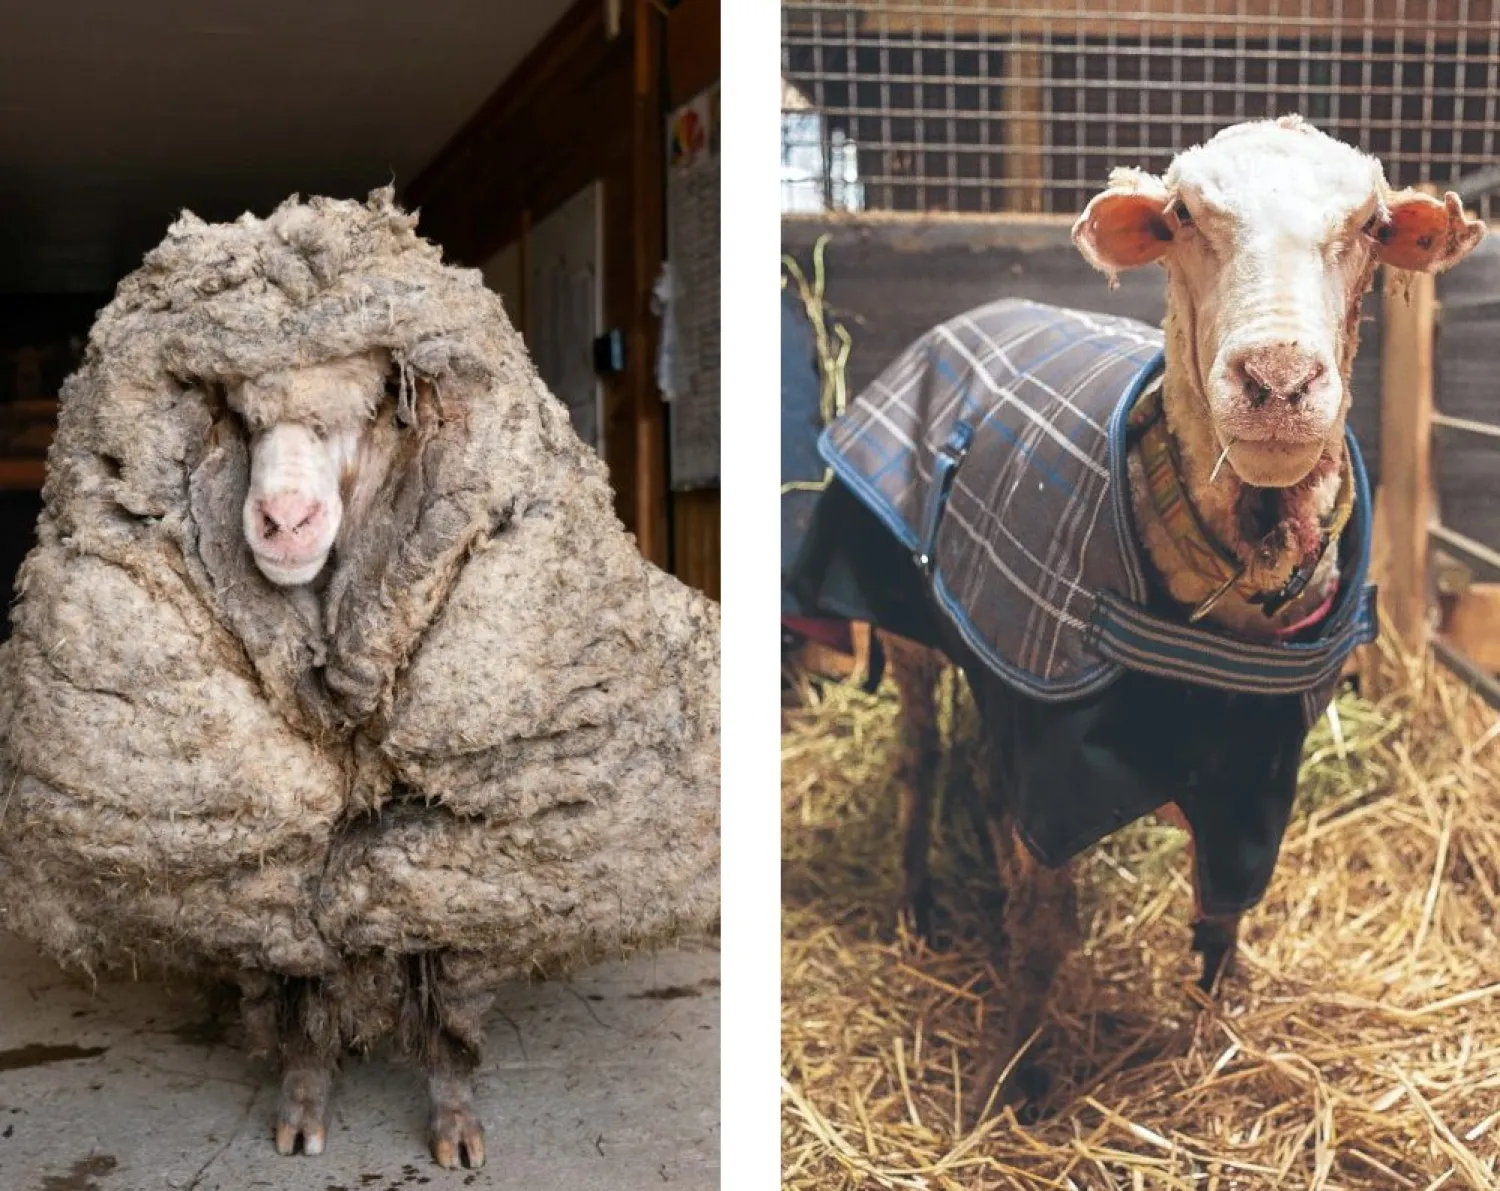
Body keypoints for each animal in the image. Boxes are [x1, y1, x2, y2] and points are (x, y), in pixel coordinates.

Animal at [0, 190, 720, 1168]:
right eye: (236, 417)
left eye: (375, 408)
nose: (283, 518)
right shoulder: (273, 871)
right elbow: (296, 978)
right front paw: (303, 1102)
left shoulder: (455, 853)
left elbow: (446, 972)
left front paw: (454, 1118)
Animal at [786, 116, 1481, 1116]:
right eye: (1183, 215)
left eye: (1372, 224)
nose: (1278, 380)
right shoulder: (1054, 763)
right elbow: (1043, 930)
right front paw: (1009, 1083)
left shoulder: (1255, 772)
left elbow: (1224, 911)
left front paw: (1218, 1026)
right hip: (904, 626)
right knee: (919, 761)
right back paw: (915, 904)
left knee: (977, 772)